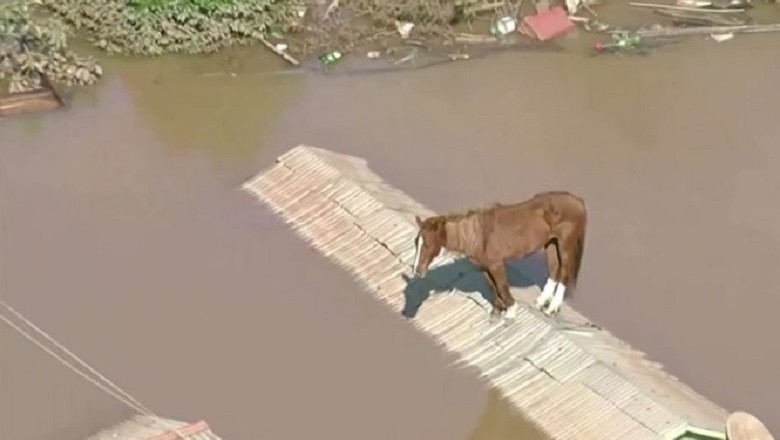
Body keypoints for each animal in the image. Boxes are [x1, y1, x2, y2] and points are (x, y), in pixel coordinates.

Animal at [411, 191, 587, 318]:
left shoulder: (496, 264)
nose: (417, 271)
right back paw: (541, 301)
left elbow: (501, 286)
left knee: (564, 272)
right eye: (416, 242)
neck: (477, 235)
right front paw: (497, 311)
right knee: (554, 269)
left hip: (565, 244)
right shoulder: (484, 267)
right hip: (551, 243)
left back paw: (552, 308)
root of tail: (578, 202)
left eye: (427, 244)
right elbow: (493, 287)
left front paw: (511, 311)